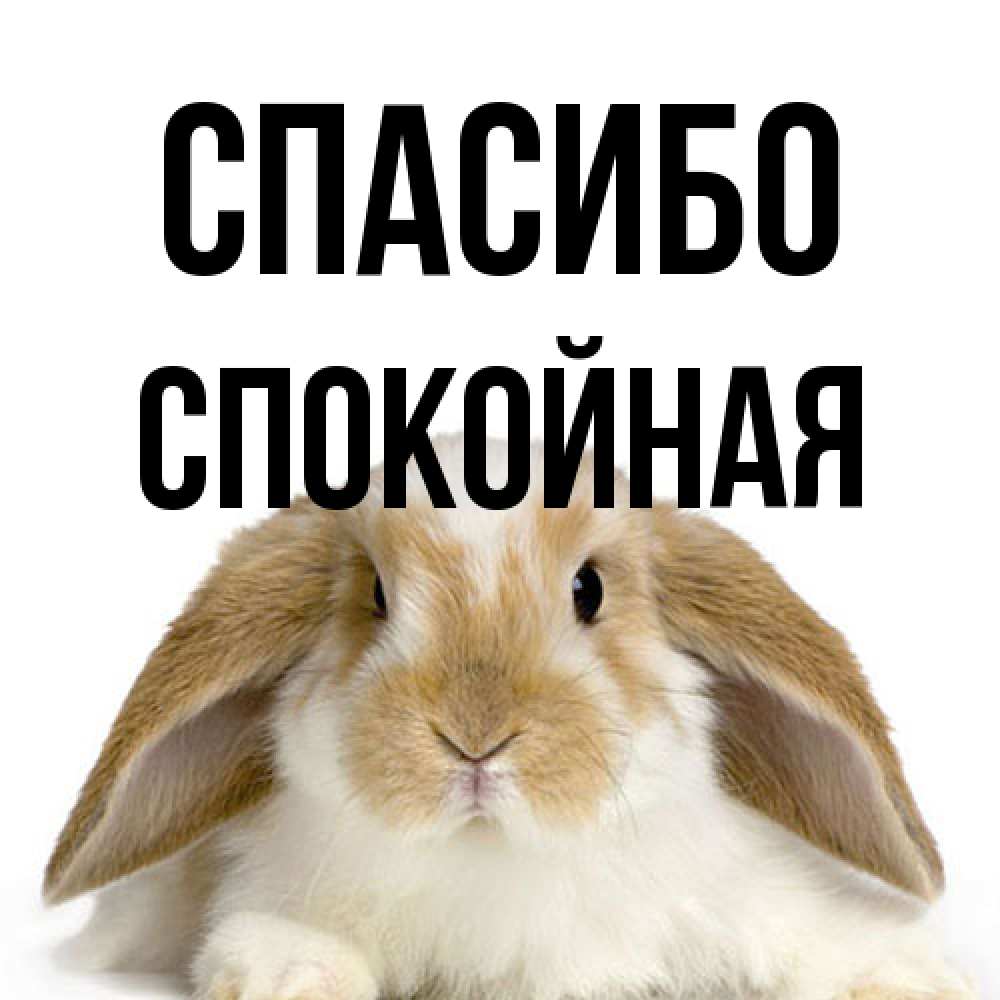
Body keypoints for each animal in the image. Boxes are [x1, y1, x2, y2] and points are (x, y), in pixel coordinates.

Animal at [45, 436, 975, 1000]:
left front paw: (909, 978)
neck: (495, 857)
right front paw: (291, 977)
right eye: (375, 596)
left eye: (589, 589)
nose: (475, 737)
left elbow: (817, 939)